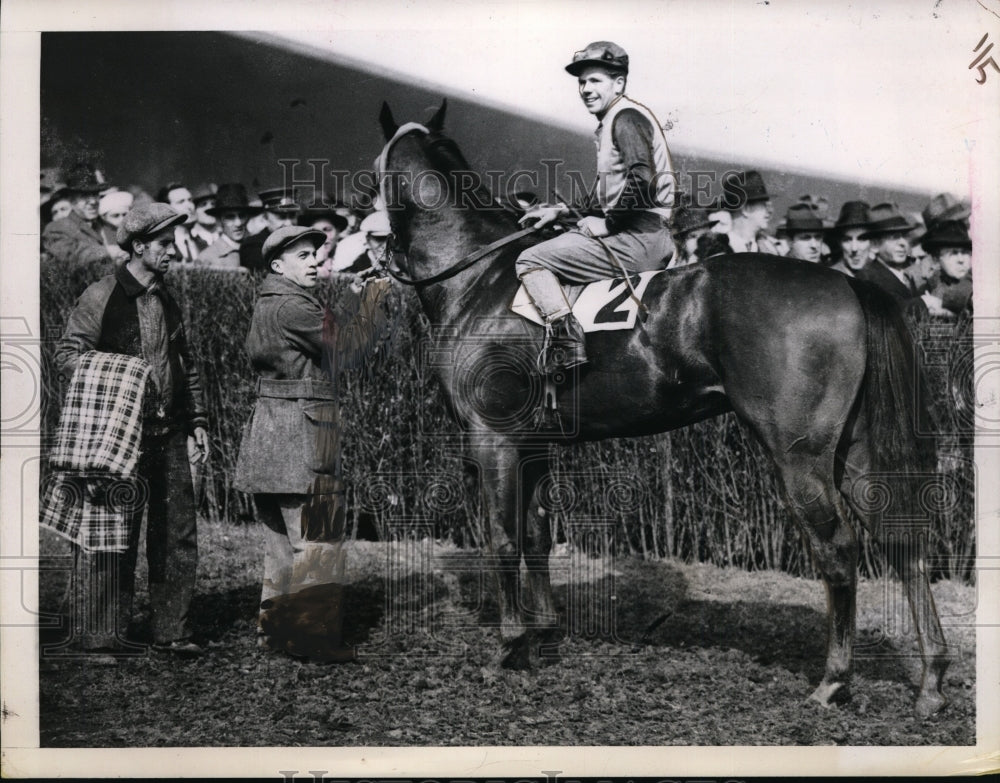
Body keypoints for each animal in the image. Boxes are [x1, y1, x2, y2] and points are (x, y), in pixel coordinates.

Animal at [374, 99, 944, 716]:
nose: (373, 235)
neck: (481, 281)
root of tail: (847, 284)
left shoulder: (492, 438)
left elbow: (502, 539)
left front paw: (507, 649)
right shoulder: (535, 442)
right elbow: (537, 536)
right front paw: (543, 637)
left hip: (799, 455)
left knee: (839, 548)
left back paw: (834, 680)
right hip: (854, 451)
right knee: (901, 540)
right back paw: (931, 682)